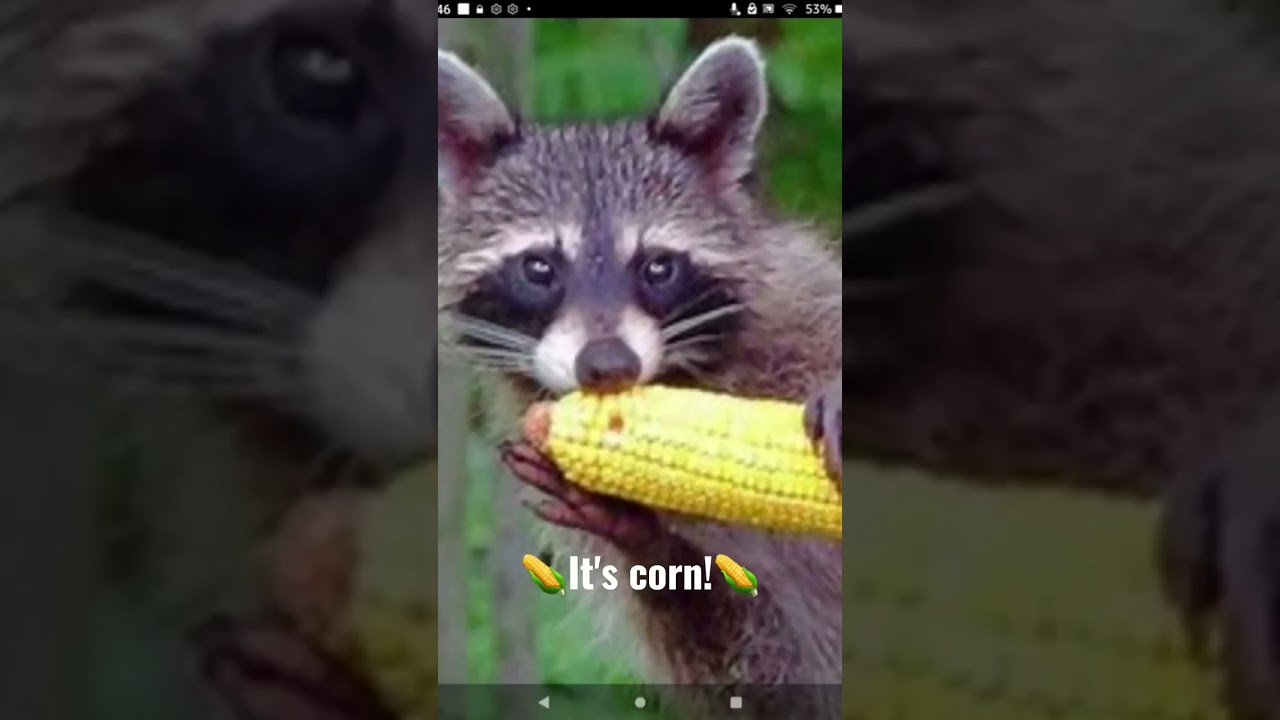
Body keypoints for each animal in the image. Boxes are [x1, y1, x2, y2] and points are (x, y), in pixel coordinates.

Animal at [437, 38, 843, 716]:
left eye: (657, 266)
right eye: (539, 268)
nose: (607, 365)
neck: (690, 381)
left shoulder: (808, 306)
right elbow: (761, 673)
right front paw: (641, 535)